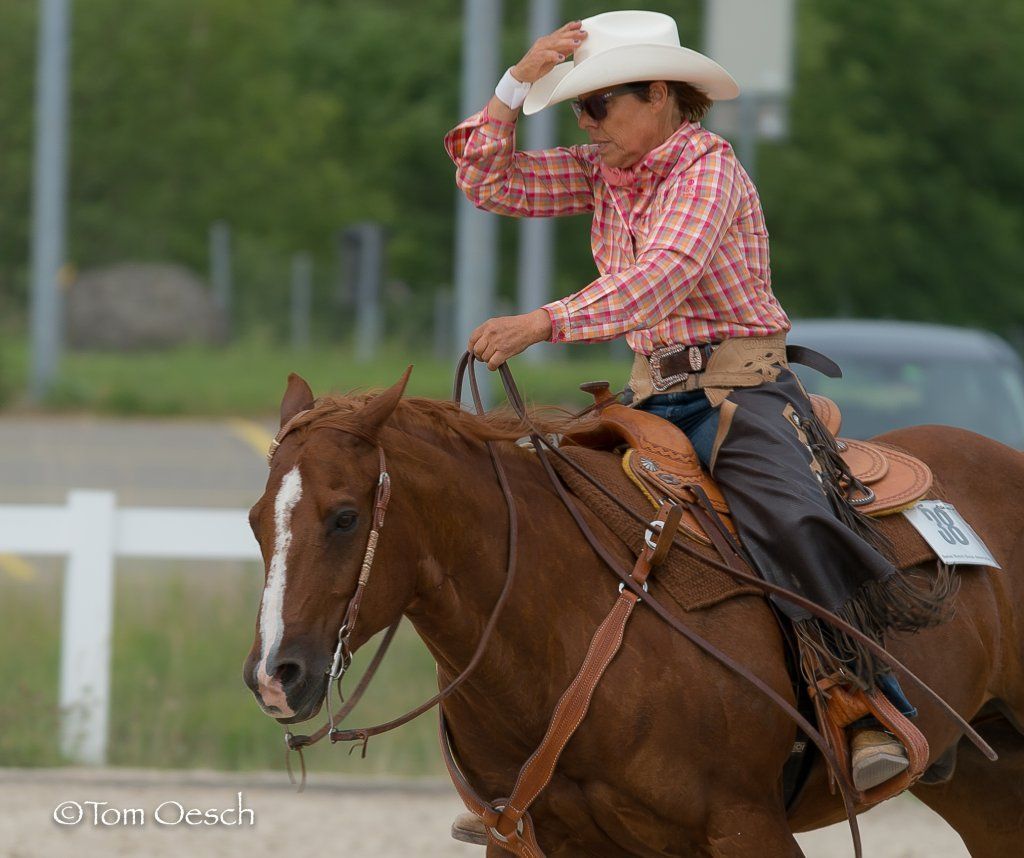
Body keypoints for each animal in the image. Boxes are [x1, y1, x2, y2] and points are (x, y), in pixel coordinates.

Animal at [243, 369, 1024, 857]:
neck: (556, 625)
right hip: (985, 784)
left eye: (345, 517)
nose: (275, 675)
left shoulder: (747, 828)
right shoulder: (527, 840)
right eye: (254, 520)